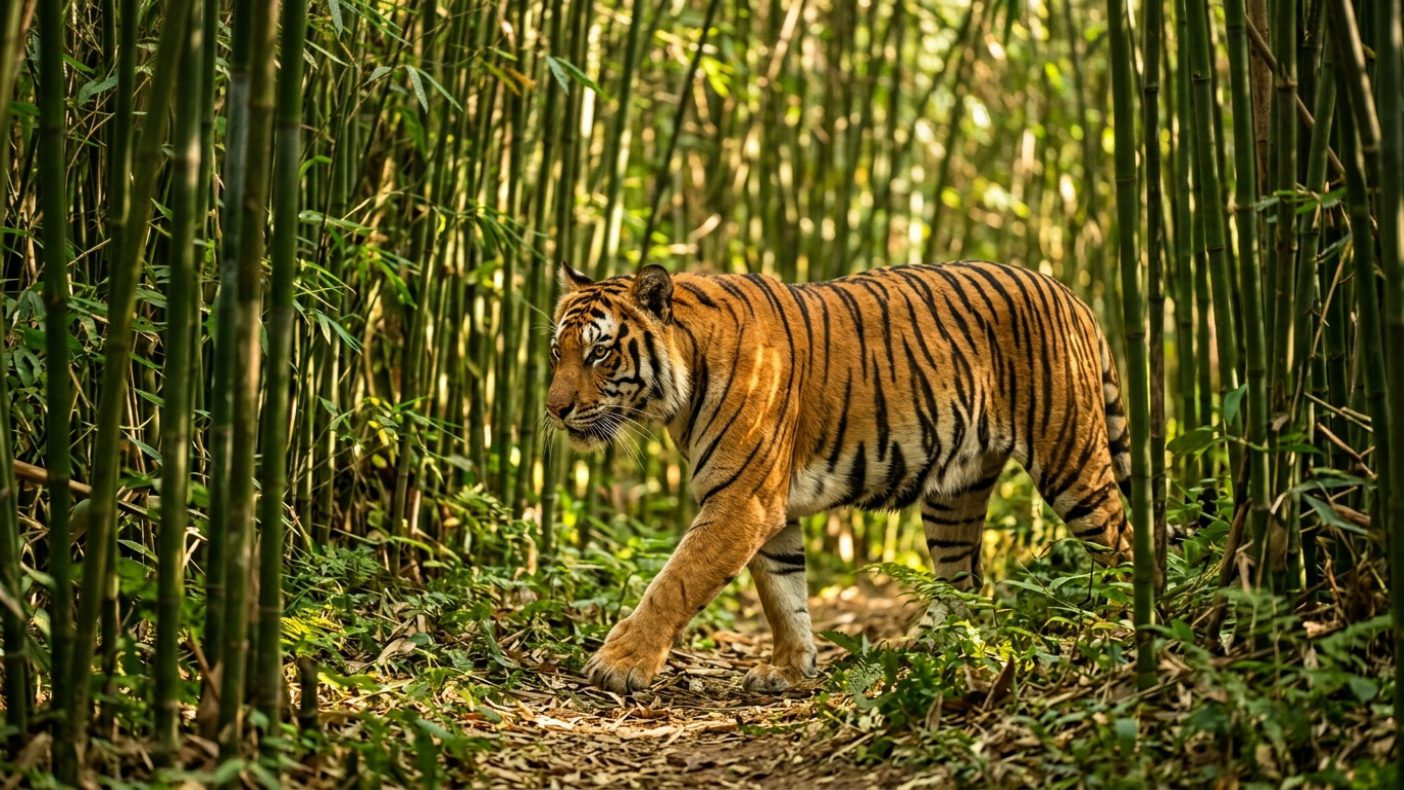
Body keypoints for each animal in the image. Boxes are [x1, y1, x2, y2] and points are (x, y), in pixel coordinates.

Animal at [545, 260, 1133, 695]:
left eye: (599, 352)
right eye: (557, 352)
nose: (554, 410)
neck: (681, 390)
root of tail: (1070, 294)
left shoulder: (740, 502)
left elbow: (674, 583)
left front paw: (619, 663)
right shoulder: (766, 508)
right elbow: (783, 594)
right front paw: (790, 669)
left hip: (1072, 460)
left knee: (1119, 541)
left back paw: (1120, 629)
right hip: (955, 492)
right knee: (962, 580)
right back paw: (928, 650)